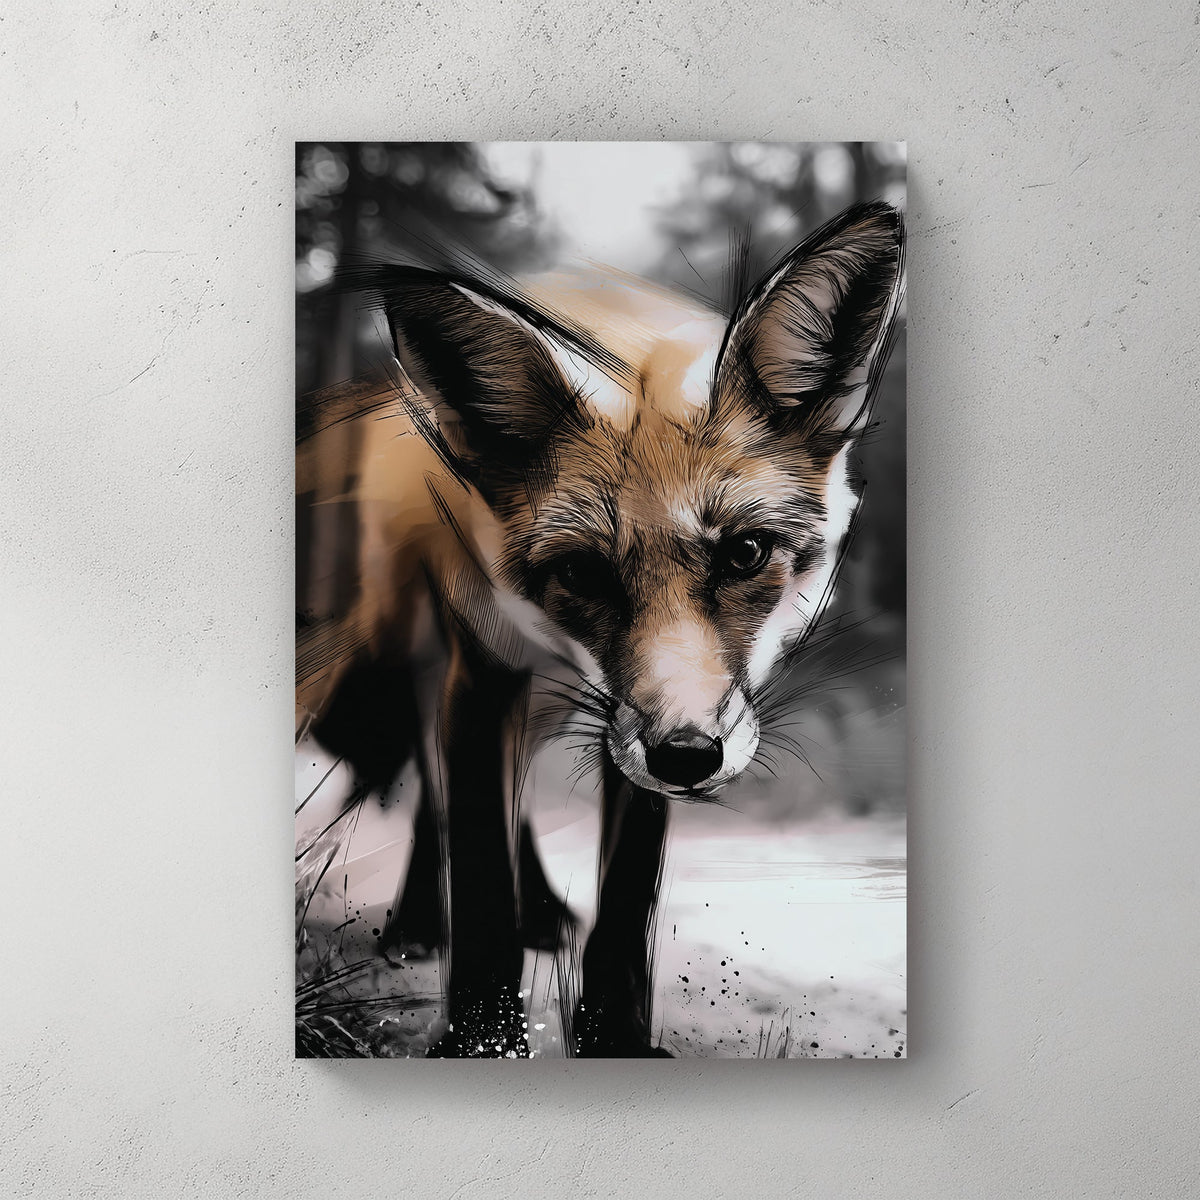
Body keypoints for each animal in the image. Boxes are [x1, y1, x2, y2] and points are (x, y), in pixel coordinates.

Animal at [296, 200, 905, 1057]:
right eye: (583, 573)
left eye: (746, 553)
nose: (686, 756)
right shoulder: (486, 669)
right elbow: (479, 868)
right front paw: (480, 1037)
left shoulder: (638, 714)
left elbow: (626, 888)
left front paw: (613, 1031)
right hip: (419, 648)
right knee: (433, 789)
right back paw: (419, 923)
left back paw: (545, 915)